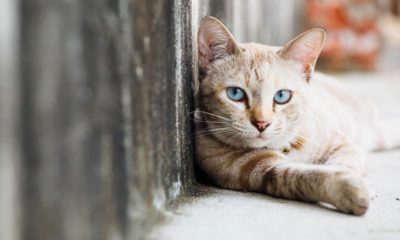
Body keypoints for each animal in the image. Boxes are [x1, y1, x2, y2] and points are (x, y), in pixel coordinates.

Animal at [195, 16, 400, 216]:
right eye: (235, 94)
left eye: (281, 96)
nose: (262, 123)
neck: (287, 148)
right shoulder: (268, 170)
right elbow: (306, 176)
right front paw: (350, 190)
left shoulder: (344, 145)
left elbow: (340, 164)